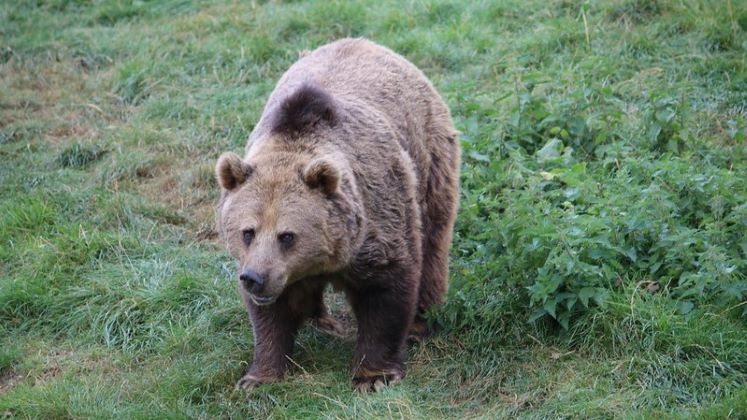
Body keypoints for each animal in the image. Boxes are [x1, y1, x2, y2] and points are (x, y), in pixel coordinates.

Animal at [215, 38, 460, 392]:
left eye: (287, 235)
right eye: (247, 231)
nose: (254, 278)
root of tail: (368, 43)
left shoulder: (377, 218)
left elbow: (385, 292)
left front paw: (373, 375)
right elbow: (272, 313)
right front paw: (258, 376)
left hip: (430, 157)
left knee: (433, 240)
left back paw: (420, 322)